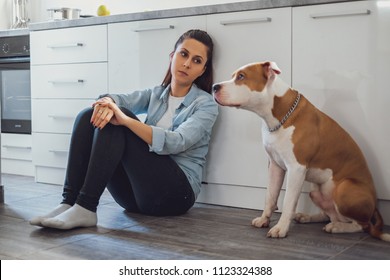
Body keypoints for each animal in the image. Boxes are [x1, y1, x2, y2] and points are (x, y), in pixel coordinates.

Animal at [213, 61, 390, 241]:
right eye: (233, 75)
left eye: (241, 76)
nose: (214, 86)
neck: (278, 115)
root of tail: (375, 205)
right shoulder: (275, 166)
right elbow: (270, 195)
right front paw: (264, 219)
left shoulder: (296, 169)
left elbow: (288, 202)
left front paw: (281, 228)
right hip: (315, 191)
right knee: (330, 214)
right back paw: (309, 217)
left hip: (345, 188)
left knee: (362, 225)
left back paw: (338, 227)